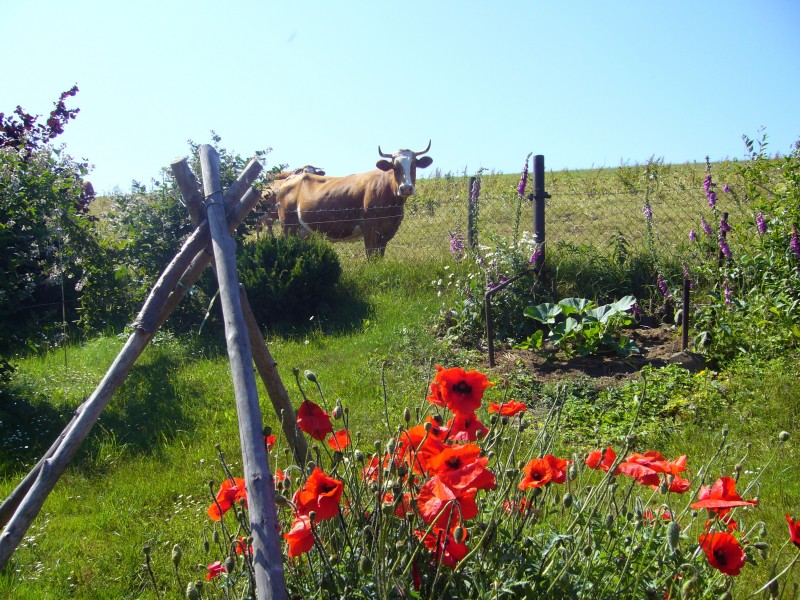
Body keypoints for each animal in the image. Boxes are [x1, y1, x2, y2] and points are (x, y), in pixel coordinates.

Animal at [276, 145, 438, 258]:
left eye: (414, 165)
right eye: (394, 167)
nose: (406, 188)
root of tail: (290, 178)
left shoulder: (389, 230)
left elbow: (379, 256)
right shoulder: (369, 226)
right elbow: (371, 256)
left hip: (304, 232)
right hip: (288, 225)